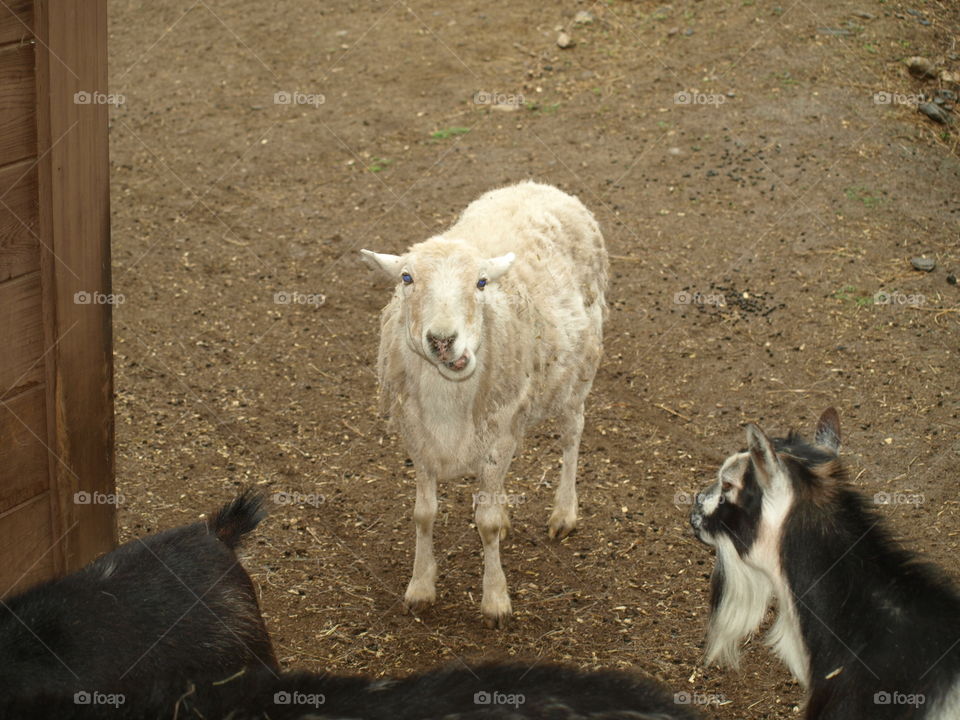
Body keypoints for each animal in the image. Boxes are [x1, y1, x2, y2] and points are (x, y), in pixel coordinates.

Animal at [361, 181, 608, 626]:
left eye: (480, 283)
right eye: (406, 278)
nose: (442, 340)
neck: (448, 396)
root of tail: (538, 184)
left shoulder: (496, 438)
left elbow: (486, 524)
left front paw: (495, 599)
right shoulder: (418, 438)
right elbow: (424, 514)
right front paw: (420, 586)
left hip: (580, 370)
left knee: (572, 436)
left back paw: (564, 512)